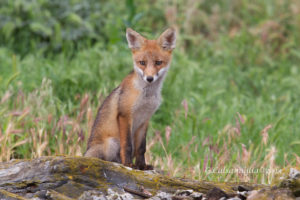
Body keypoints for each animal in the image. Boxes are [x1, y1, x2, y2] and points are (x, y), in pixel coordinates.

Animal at [84, 27, 176, 170]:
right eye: (142, 63)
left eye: (158, 63)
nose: (149, 78)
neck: (146, 96)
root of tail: (85, 154)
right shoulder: (125, 115)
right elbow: (127, 145)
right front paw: (128, 164)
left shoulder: (145, 119)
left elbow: (141, 148)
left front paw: (141, 165)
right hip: (112, 142)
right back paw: (118, 163)